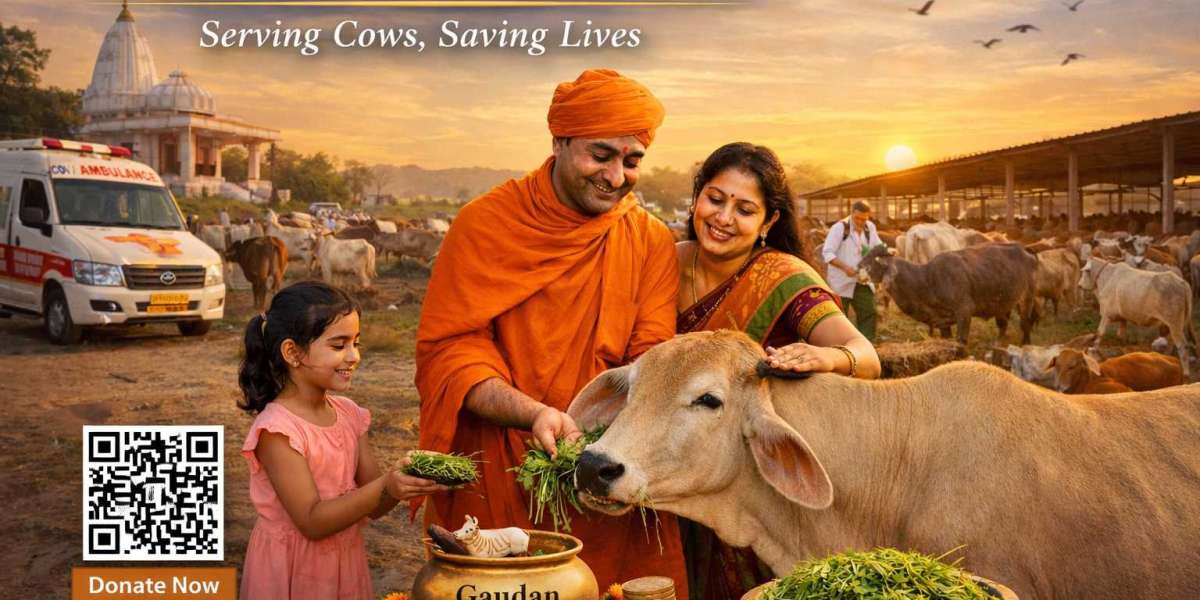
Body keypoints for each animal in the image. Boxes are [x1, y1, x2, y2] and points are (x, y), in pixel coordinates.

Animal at [860, 242, 1039, 345]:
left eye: (872, 263)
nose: (858, 269)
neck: (927, 280)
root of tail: (1024, 249)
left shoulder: (964, 312)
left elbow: (961, 342)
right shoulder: (942, 322)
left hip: (1026, 299)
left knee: (1025, 323)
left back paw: (1026, 343)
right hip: (1004, 303)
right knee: (1003, 324)